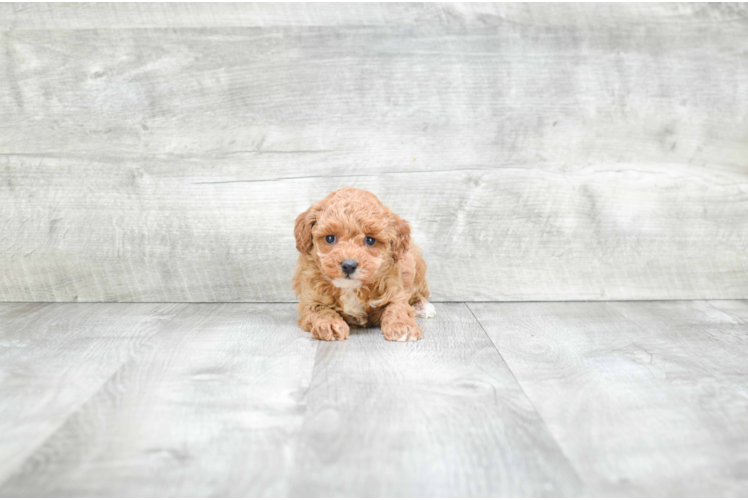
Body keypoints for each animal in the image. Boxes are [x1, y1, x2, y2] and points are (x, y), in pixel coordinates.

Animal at [292, 186, 432, 342]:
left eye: (370, 240)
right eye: (330, 238)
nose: (349, 265)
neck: (351, 288)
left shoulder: (395, 289)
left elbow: (397, 307)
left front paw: (403, 326)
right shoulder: (310, 299)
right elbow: (320, 309)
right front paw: (329, 324)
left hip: (417, 269)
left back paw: (423, 307)